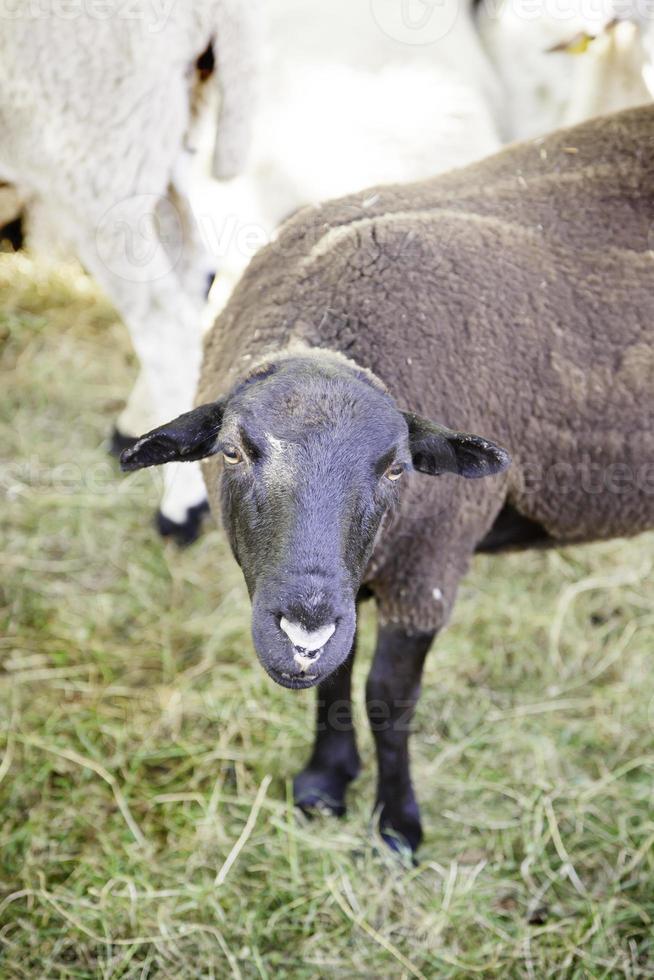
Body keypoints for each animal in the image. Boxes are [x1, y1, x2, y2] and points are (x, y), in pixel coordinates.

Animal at [121, 103, 654, 852]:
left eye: (398, 468)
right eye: (231, 453)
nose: (302, 631)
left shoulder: (425, 566)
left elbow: (387, 699)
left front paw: (397, 821)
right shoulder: (347, 592)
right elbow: (334, 678)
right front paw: (324, 782)